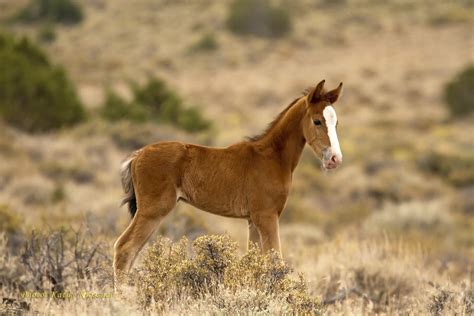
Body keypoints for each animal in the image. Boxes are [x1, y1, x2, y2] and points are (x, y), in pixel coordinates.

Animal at [115, 80, 344, 280]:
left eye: (336, 122)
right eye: (317, 121)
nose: (335, 159)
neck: (272, 157)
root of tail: (137, 155)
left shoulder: (253, 220)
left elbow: (255, 262)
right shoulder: (267, 216)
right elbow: (275, 261)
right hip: (153, 210)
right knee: (125, 248)